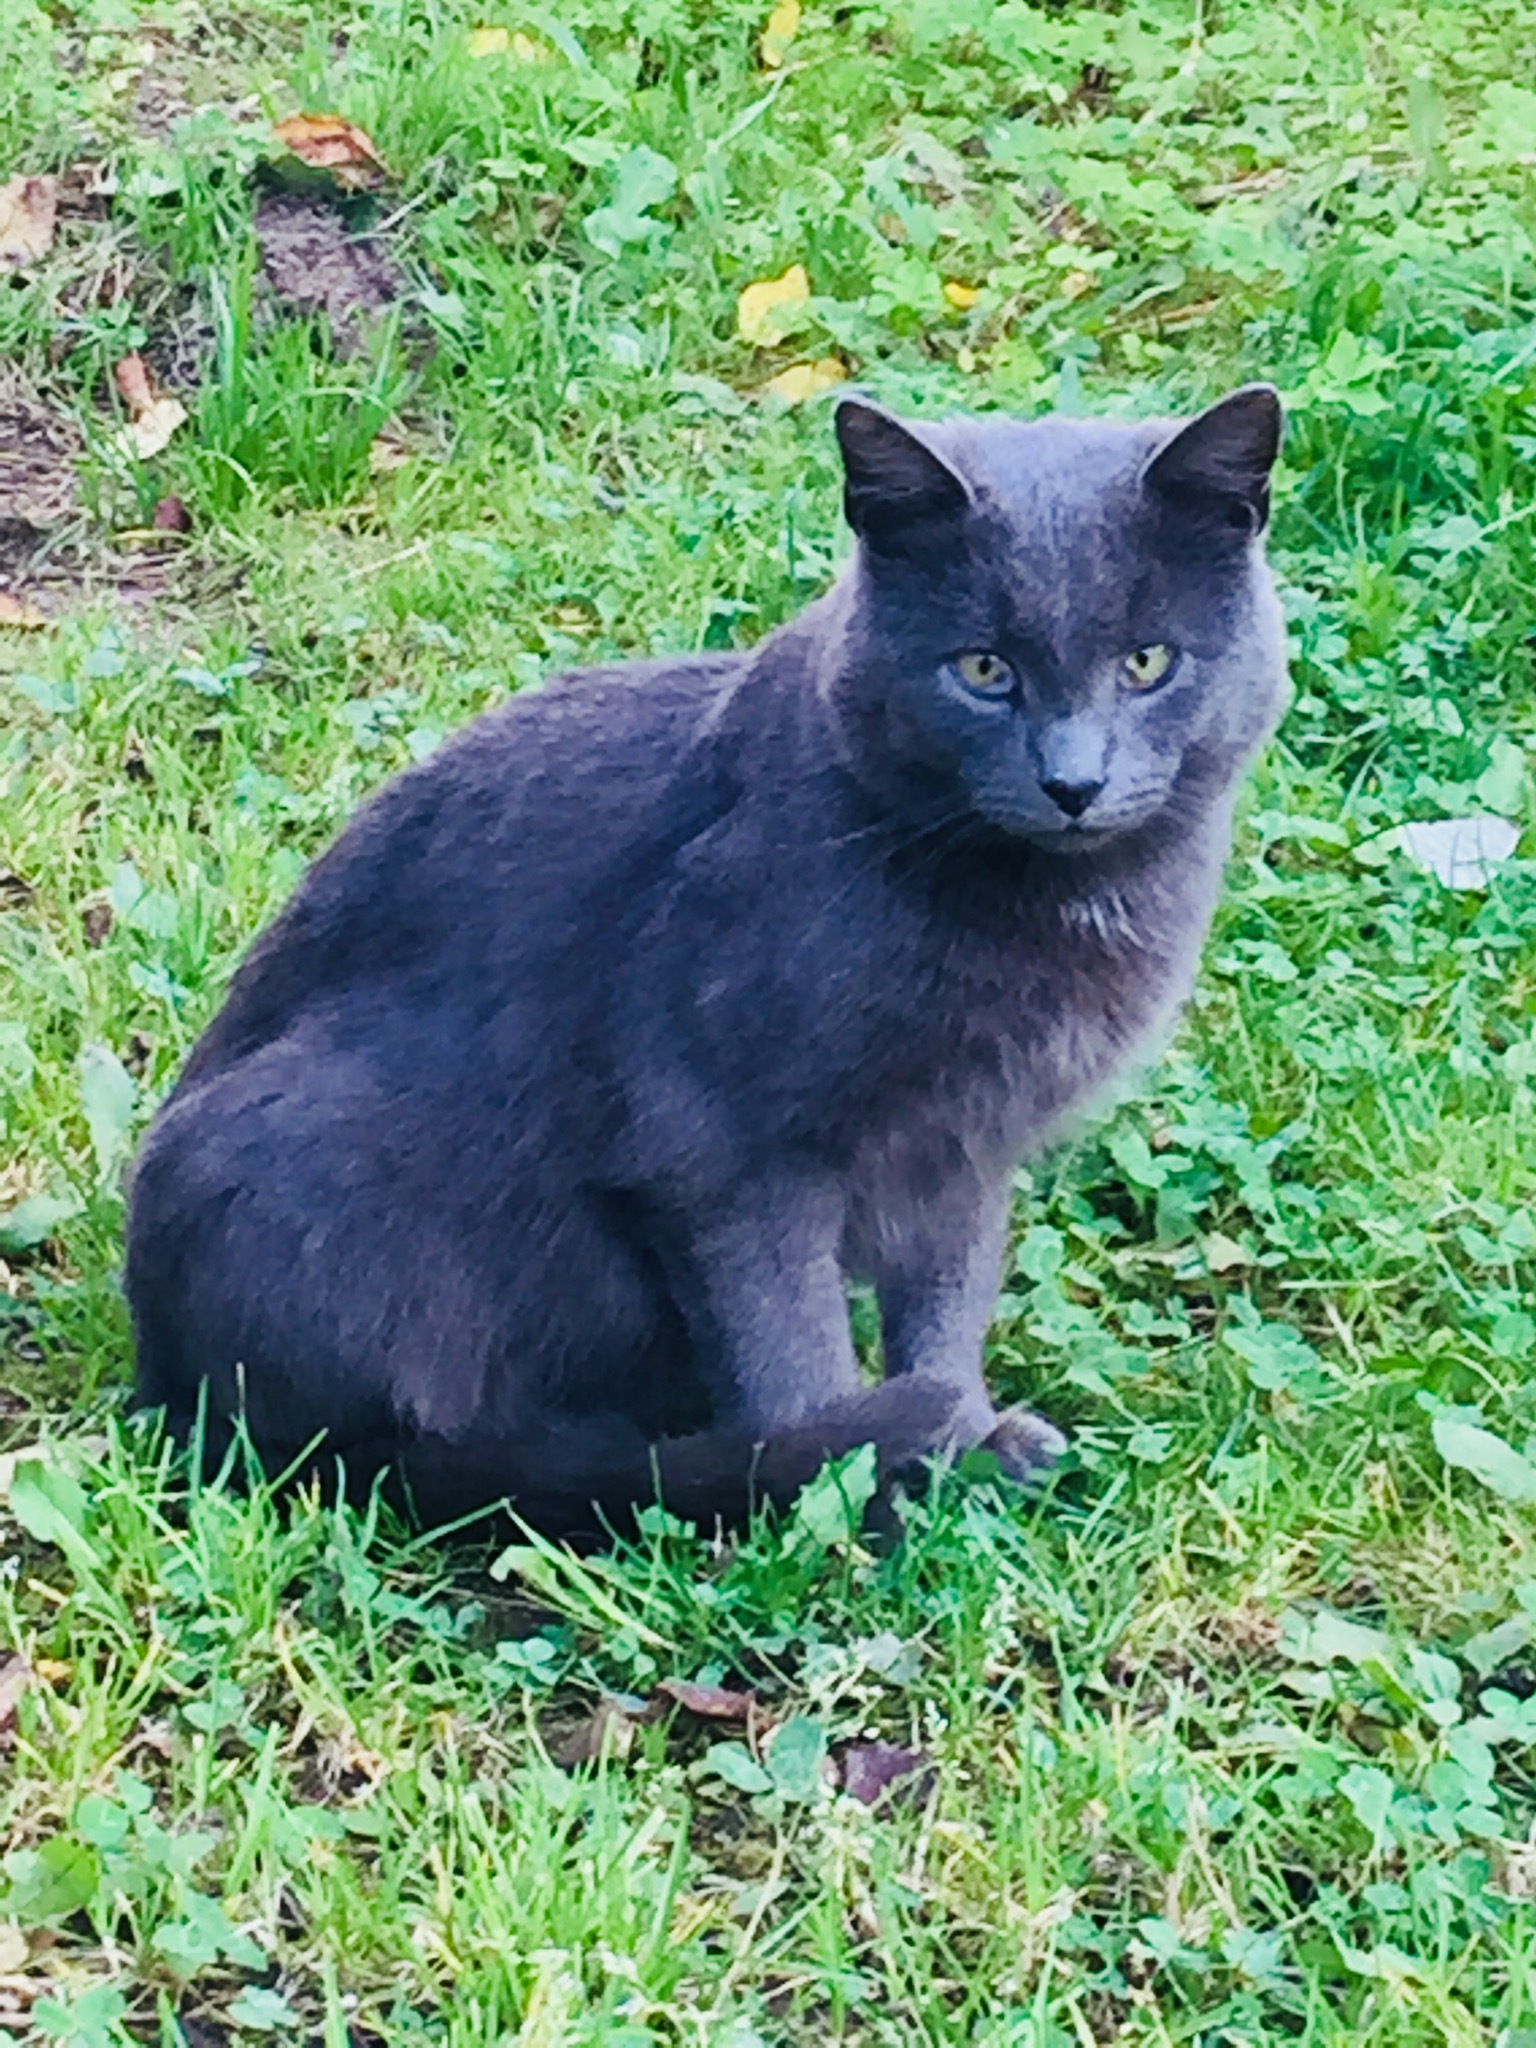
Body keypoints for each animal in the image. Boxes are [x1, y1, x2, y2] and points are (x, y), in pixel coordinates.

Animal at [126, 387, 1294, 1540]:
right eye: (983, 670)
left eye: (1147, 662)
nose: (1073, 782)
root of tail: (159, 1372)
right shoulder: (720, 1141)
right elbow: (789, 1344)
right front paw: (846, 1493)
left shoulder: (963, 1147)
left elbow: (948, 1300)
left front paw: (961, 1443)